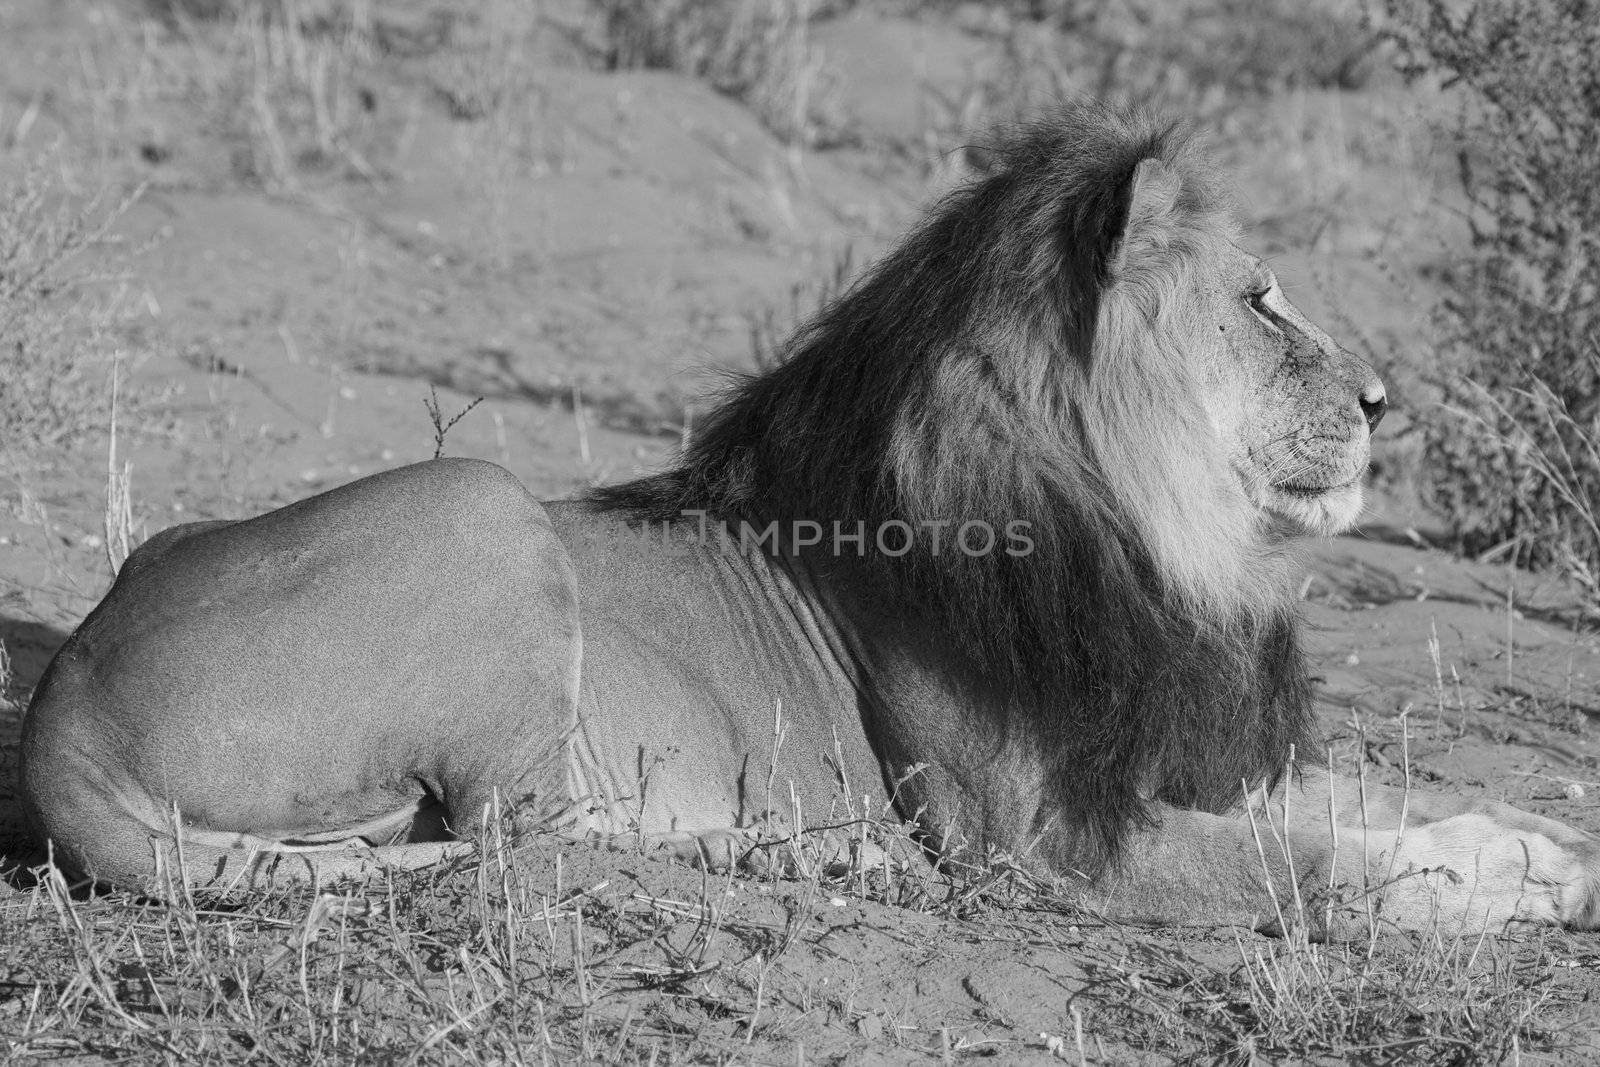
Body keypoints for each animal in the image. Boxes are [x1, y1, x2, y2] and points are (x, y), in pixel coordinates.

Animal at [15, 102, 1600, 934]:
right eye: (1264, 300)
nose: (1390, 399)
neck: (1149, 536)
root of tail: (61, 706)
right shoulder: (1033, 841)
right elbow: (1317, 858)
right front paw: (1489, 884)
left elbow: (1361, 800)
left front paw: (1537, 838)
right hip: (486, 508)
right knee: (528, 839)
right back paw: (810, 856)